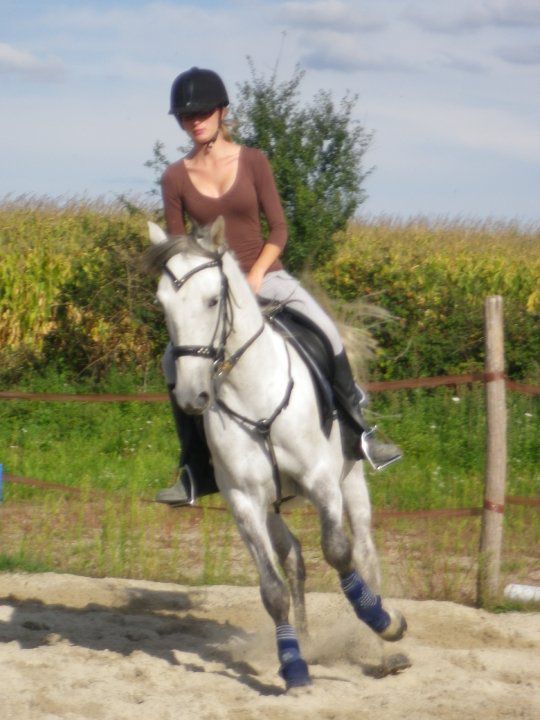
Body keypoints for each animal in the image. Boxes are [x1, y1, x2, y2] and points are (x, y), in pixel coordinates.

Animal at [144, 217, 407, 691]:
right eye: (163, 303)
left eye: (213, 300)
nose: (193, 397)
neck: (252, 390)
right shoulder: (244, 502)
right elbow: (272, 588)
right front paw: (293, 665)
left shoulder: (322, 483)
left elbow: (338, 553)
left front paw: (380, 619)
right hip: (271, 506)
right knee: (294, 556)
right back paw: (309, 643)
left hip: (351, 480)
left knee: (363, 551)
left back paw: (384, 648)